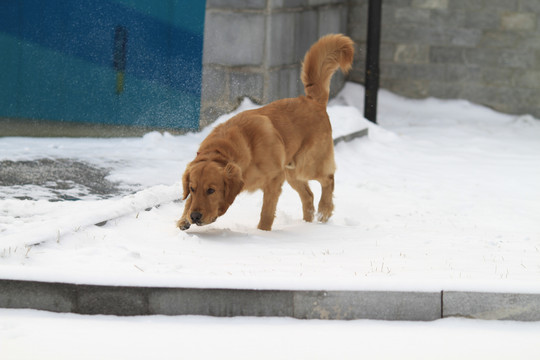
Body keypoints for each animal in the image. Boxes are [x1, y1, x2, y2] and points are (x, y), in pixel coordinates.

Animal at [177, 34, 354, 231]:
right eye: (192, 189)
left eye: (211, 190)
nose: (195, 216)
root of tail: (312, 100)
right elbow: (187, 202)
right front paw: (183, 219)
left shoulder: (274, 179)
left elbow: (267, 212)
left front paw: (262, 233)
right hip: (292, 171)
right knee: (308, 196)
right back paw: (306, 224)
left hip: (306, 164)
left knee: (328, 179)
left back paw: (324, 211)